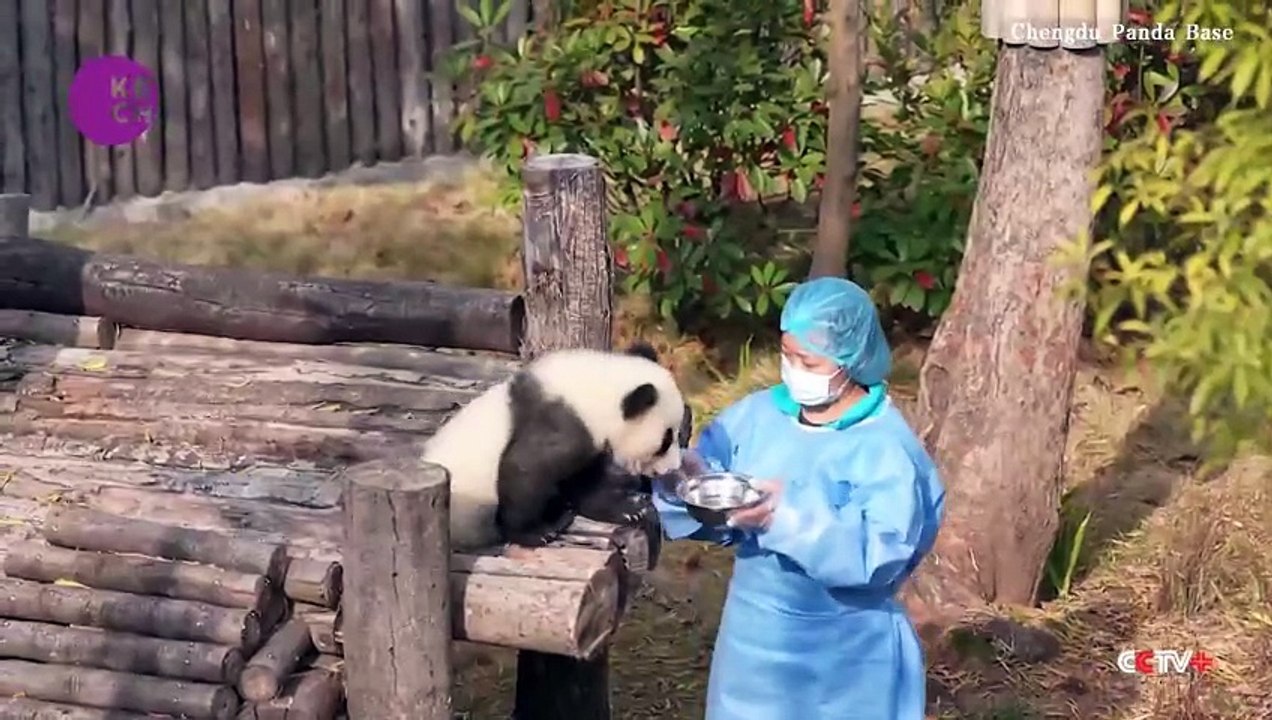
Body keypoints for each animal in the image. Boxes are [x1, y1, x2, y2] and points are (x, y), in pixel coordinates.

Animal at [421, 342, 692, 551]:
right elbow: (526, 471)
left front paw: (628, 508)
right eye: (665, 442)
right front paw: (534, 533)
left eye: (679, 434)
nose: (672, 468)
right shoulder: (562, 424)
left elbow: (585, 483)